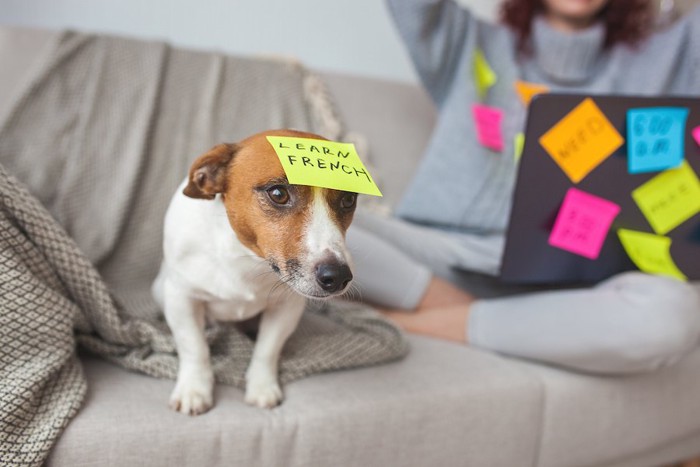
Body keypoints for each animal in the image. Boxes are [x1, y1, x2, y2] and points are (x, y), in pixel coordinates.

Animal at [152, 130, 356, 414]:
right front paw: (194, 388)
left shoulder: (287, 307)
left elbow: (266, 349)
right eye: (278, 193)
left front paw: (261, 387)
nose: (337, 276)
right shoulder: (182, 298)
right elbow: (194, 347)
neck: (246, 258)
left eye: (349, 200)